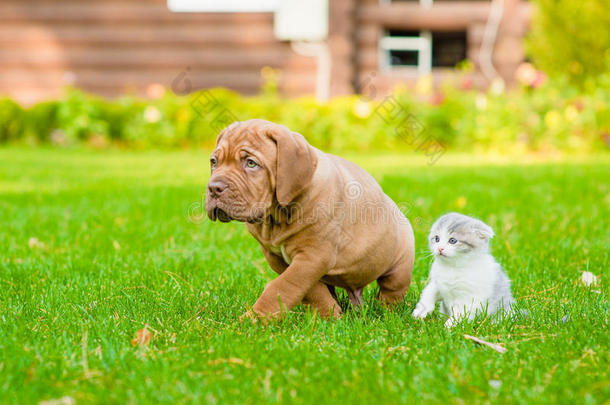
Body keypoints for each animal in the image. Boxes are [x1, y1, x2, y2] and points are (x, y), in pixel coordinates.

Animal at [205, 118, 414, 320]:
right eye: (214, 162)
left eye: (251, 163)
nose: (214, 188)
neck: (276, 218)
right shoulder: (279, 257)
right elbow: (311, 290)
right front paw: (329, 313)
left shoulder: (314, 255)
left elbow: (282, 287)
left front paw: (256, 318)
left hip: (400, 265)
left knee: (392, 290)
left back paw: (387, 313)